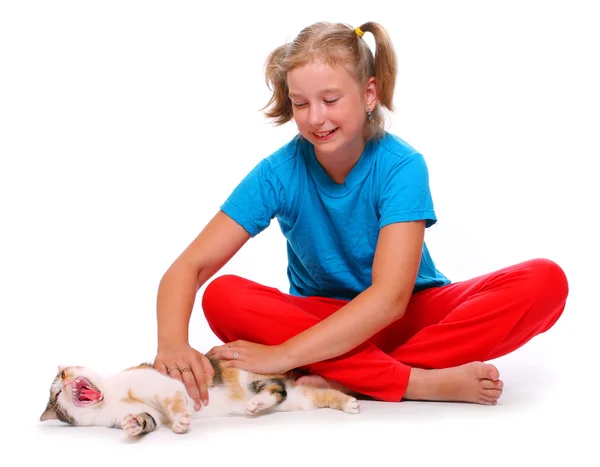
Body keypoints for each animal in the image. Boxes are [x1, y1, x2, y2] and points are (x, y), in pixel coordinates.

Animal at [39, 356, 358, 436]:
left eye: (62, 376)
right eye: (56, 395)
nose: (64, 382)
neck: (112, 397)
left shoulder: (164, 385)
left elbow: (174, 402)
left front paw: (181, 421)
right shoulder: (143, 415)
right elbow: (147, 420)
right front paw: (133, 425)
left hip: (252, 379)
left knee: (275, 390)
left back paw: (255, 403)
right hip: (298, 400)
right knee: (316, 394)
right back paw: (350, 404)